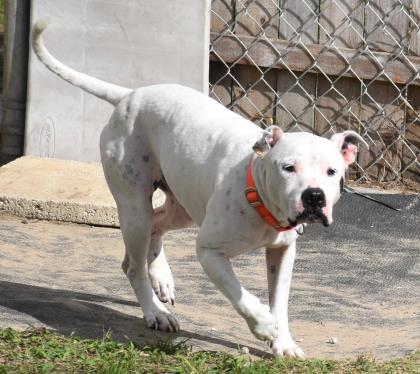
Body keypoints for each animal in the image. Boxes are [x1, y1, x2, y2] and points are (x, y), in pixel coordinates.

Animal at [33, 19, 368, 356]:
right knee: (134, 263)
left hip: (183, 206)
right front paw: (263, 324)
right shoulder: (209, 252)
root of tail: (130, 95)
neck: (258, 197)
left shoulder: (283, 251)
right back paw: (155, 311)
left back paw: (161, 278)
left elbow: (280, 300)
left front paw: (283, 343)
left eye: (332, 172)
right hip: (134, 205)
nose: (314, 196)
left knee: (155, 228)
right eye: (288, 167)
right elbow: (239, 295)